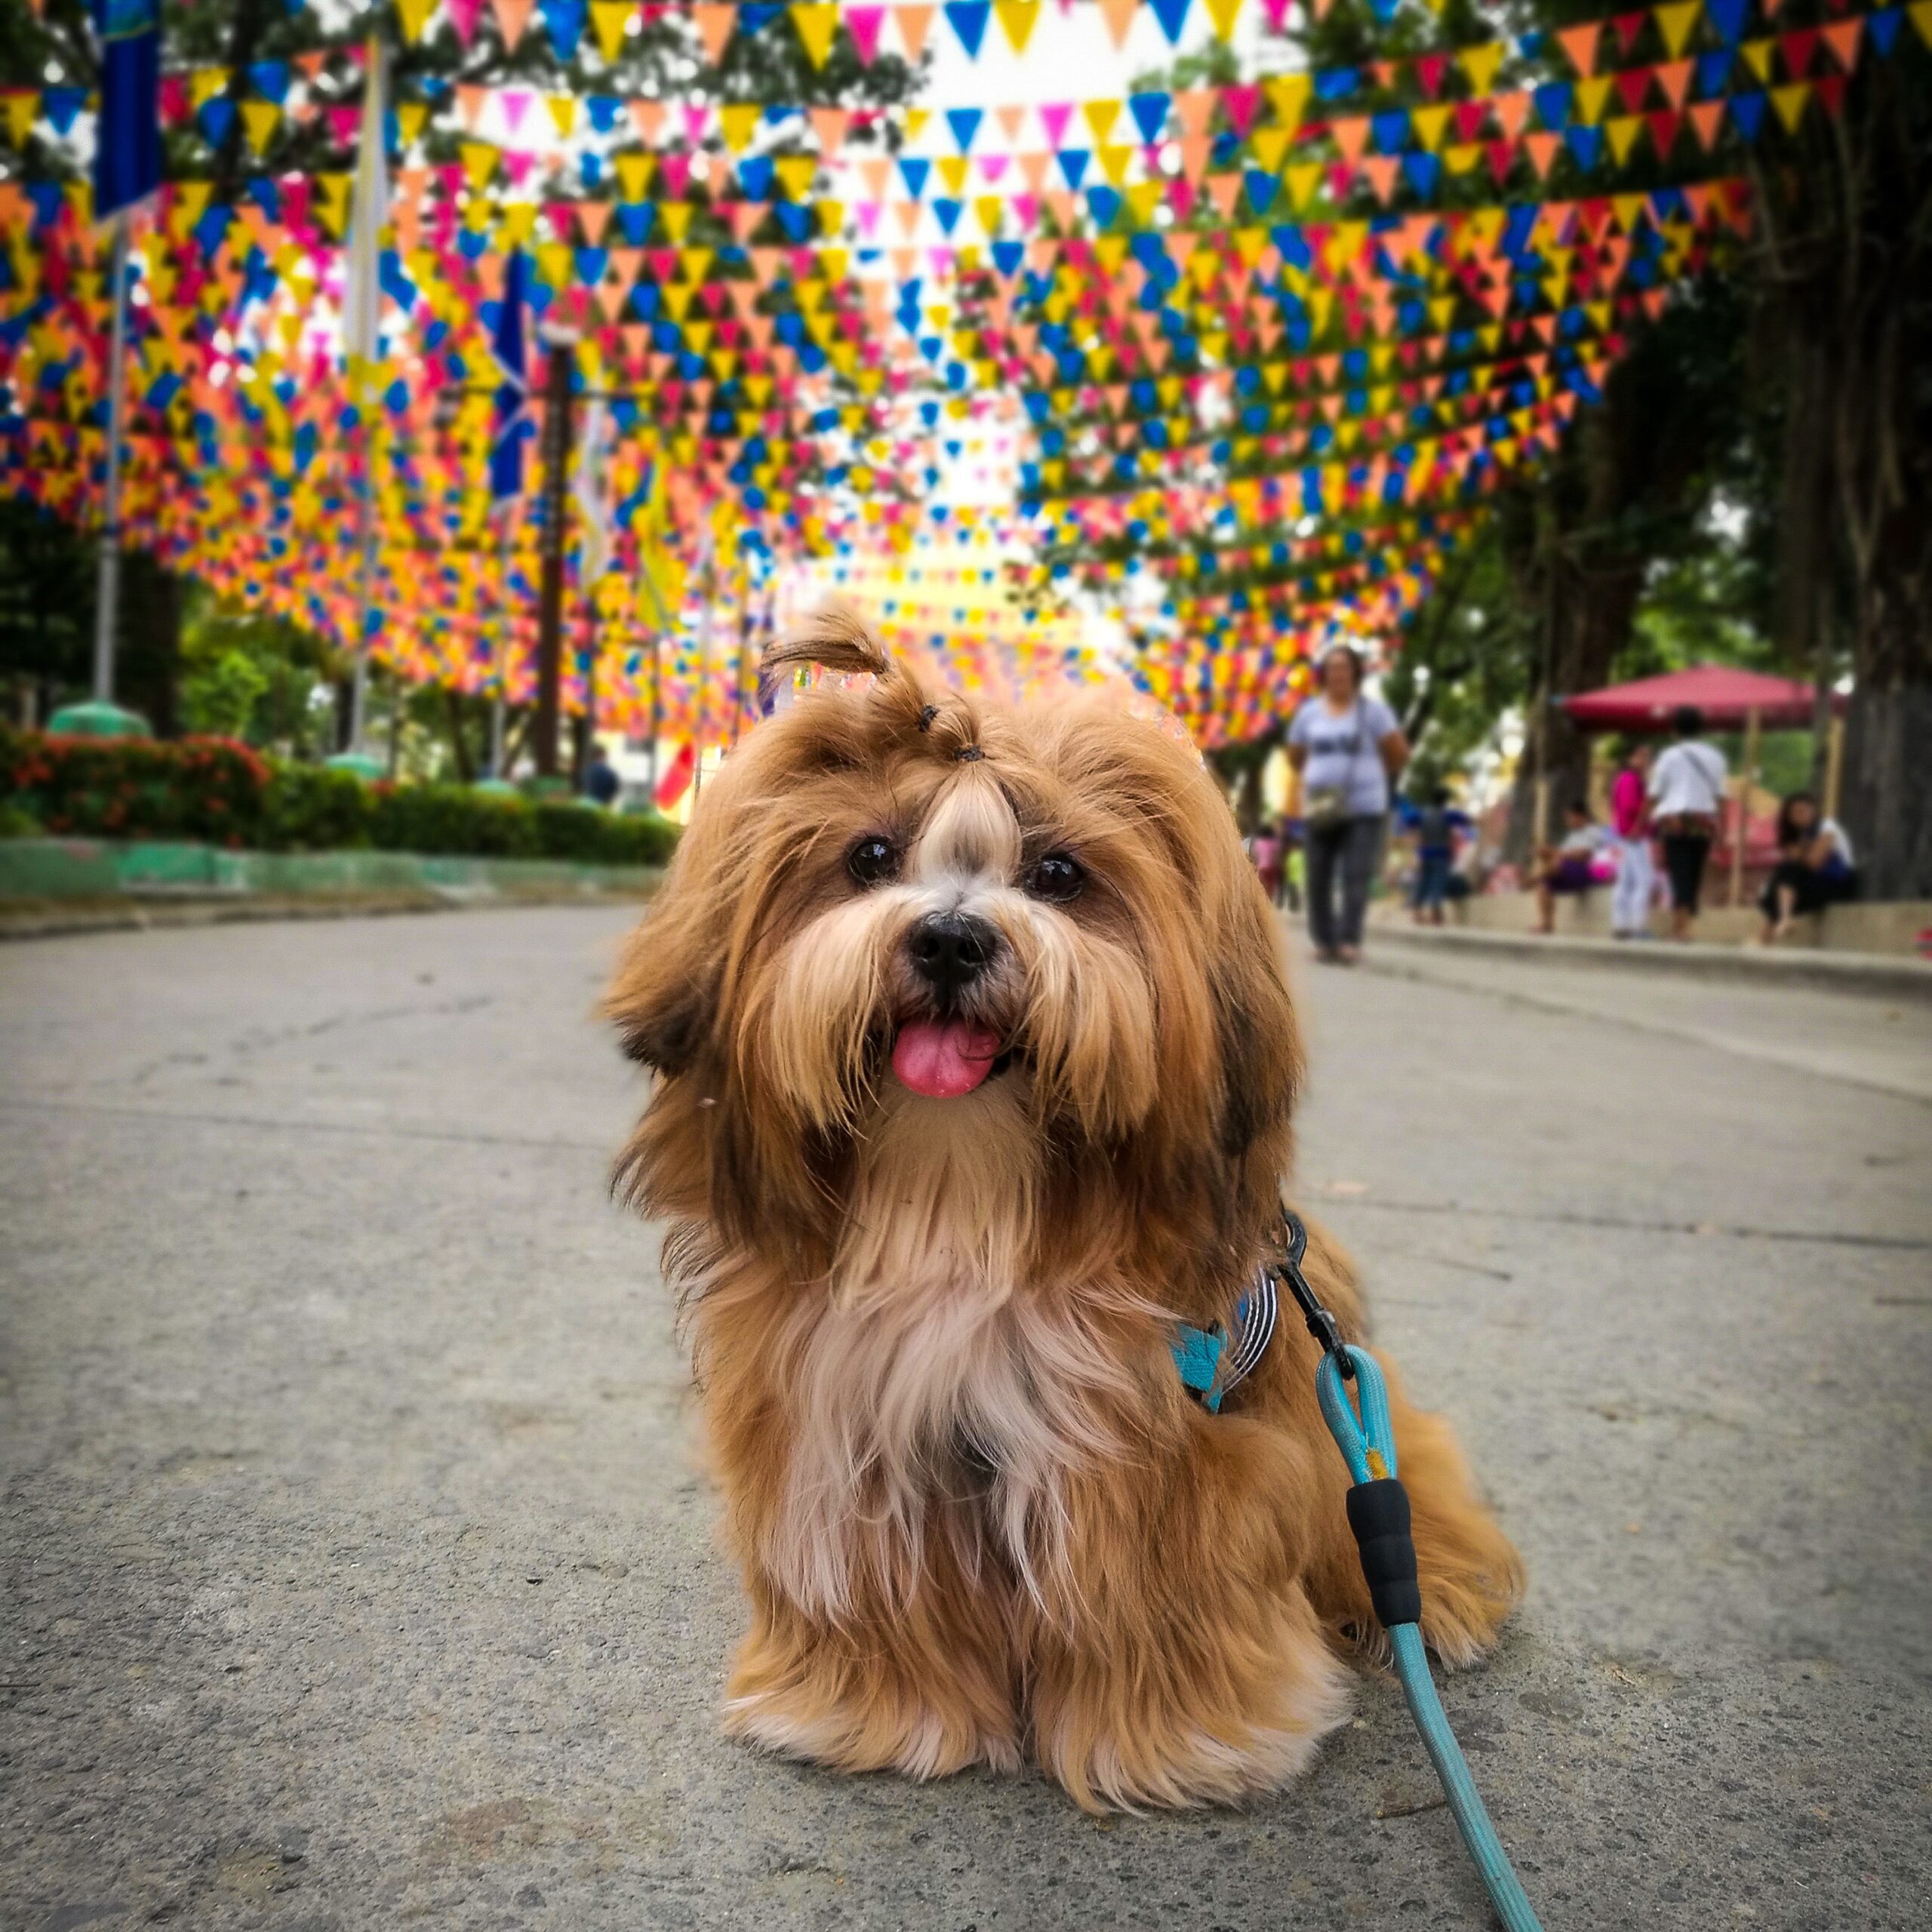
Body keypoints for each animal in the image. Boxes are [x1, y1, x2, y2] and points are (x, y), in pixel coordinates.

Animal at [610, 614, 1515, 1808]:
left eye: (1058, 873)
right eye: (870, 859)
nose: (950, 939)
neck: (962, 1202)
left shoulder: (1169, 1456)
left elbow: (1159, 1595)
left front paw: (1182, 1737)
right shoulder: (842, 1433)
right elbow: (868, 1589)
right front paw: (873, 1713)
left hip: (1342, 1431)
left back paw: (1438, 1598)